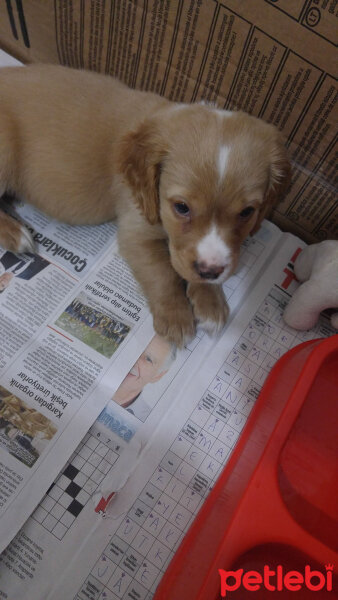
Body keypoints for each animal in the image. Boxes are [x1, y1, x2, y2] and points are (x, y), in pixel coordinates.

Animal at [0, 64, 290, 346]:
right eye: (181, 207)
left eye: (247, 212)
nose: (210, 271)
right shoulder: (136, 230)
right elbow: (163, 273)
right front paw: (176, 319)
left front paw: (210, 304)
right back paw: (16, 234)